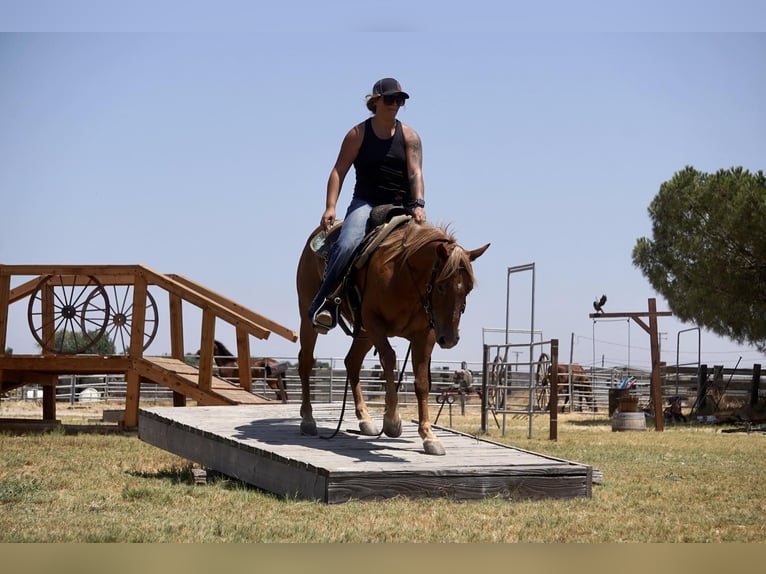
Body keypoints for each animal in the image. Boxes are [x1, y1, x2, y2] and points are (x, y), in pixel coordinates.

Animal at [296, 220, 488, 460]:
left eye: (468, 289)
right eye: (441, 285)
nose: (450, 338)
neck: (404, 276)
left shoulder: (425, 335)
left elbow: (422, 382)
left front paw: (429, 436)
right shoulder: (374, 322)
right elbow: (389, 358)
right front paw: (392, 421)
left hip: (364, 334)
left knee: (352, 362)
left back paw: (365, 419)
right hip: (310, 317)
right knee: (306, 361)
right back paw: (308, 419)